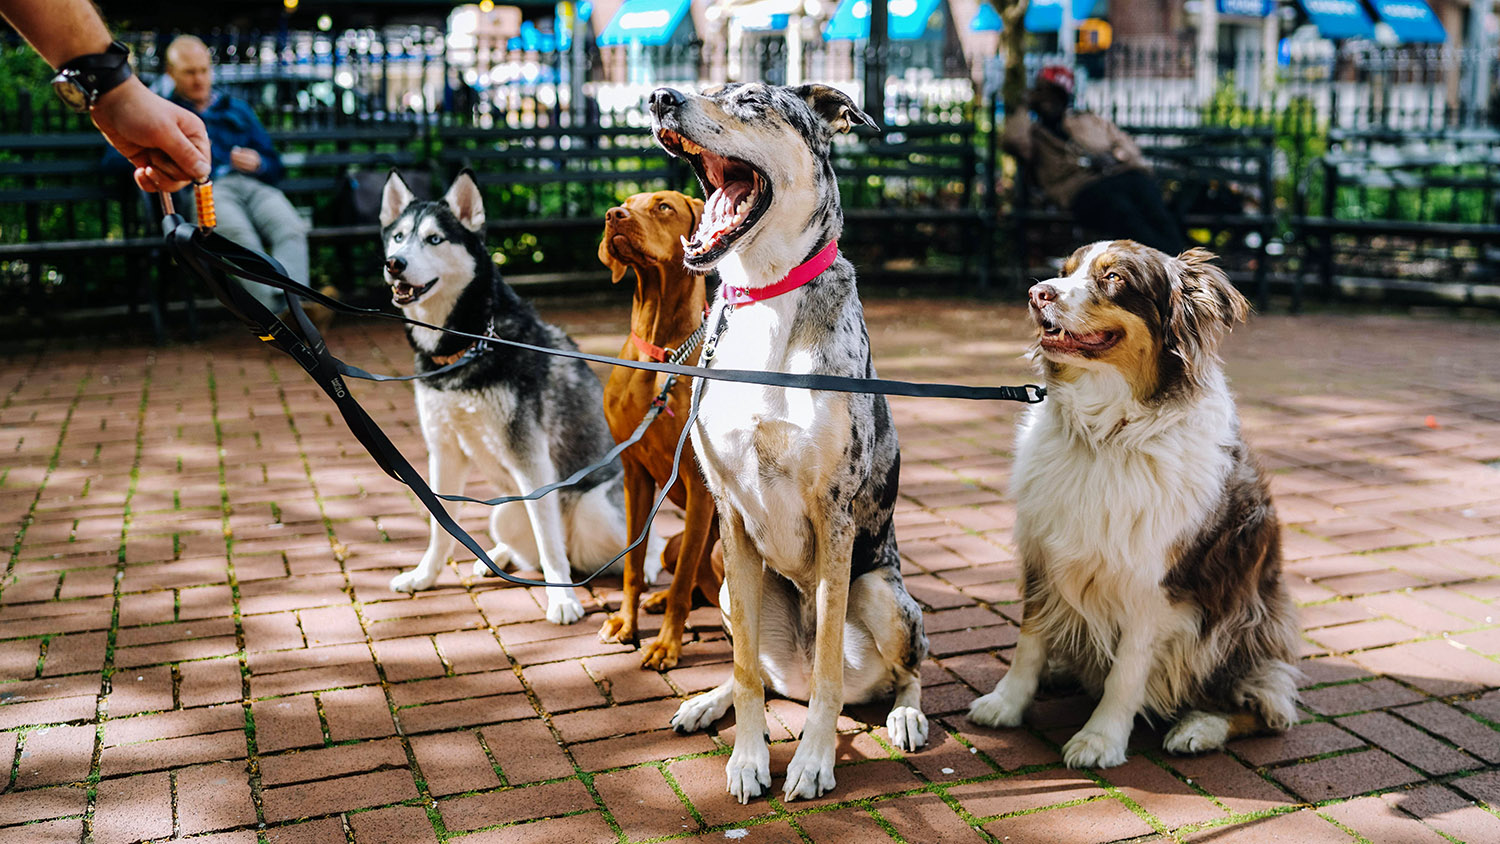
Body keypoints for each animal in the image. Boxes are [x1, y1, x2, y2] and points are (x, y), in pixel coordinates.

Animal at [381, 171, 657, 623]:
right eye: (399, 237)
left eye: (435, 239)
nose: (395, 264)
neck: (469, 344)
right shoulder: (444, 452)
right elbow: (440, 526)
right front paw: (424, 576)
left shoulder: (531, 458)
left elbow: (548, 540)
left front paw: (562, 600)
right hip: (505, 512)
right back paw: (497, 557)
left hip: (593, 510)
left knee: (631, 545)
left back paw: (640, 567)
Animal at [594, 188, 723, 671]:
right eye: (626, 203)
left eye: (663, 206)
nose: (613, 216)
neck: (660, 354)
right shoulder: (634, 473)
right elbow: (633, 565)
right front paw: (625, 623)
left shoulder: (700, 486)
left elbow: (684, 582)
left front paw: (667, 645)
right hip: (672, 542)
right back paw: (657, 599)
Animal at [645, 85, 924, 803]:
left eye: (750, 100)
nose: (660, 96)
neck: (766, 295)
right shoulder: (731, 515)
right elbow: (745, 670)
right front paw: (747, 759)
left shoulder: (835, 515)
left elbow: (828, 672)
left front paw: (813, 761)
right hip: (724, 586)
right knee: (763, 674)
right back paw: (706, 702)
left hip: (883, 594)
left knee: (905, 670)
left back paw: (906, 716)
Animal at [972, 241, 1302, 767]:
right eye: (1065, 271)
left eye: (1114, 279)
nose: (1036, 293)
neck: (1106, 434)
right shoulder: (1043, 554)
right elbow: (1030, 639)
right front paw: (1007, 702)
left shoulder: (1155, 587)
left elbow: (1127, 672)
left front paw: (1100, 738)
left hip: (1242, 622)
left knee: (1270, 705)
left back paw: (1200, 728)